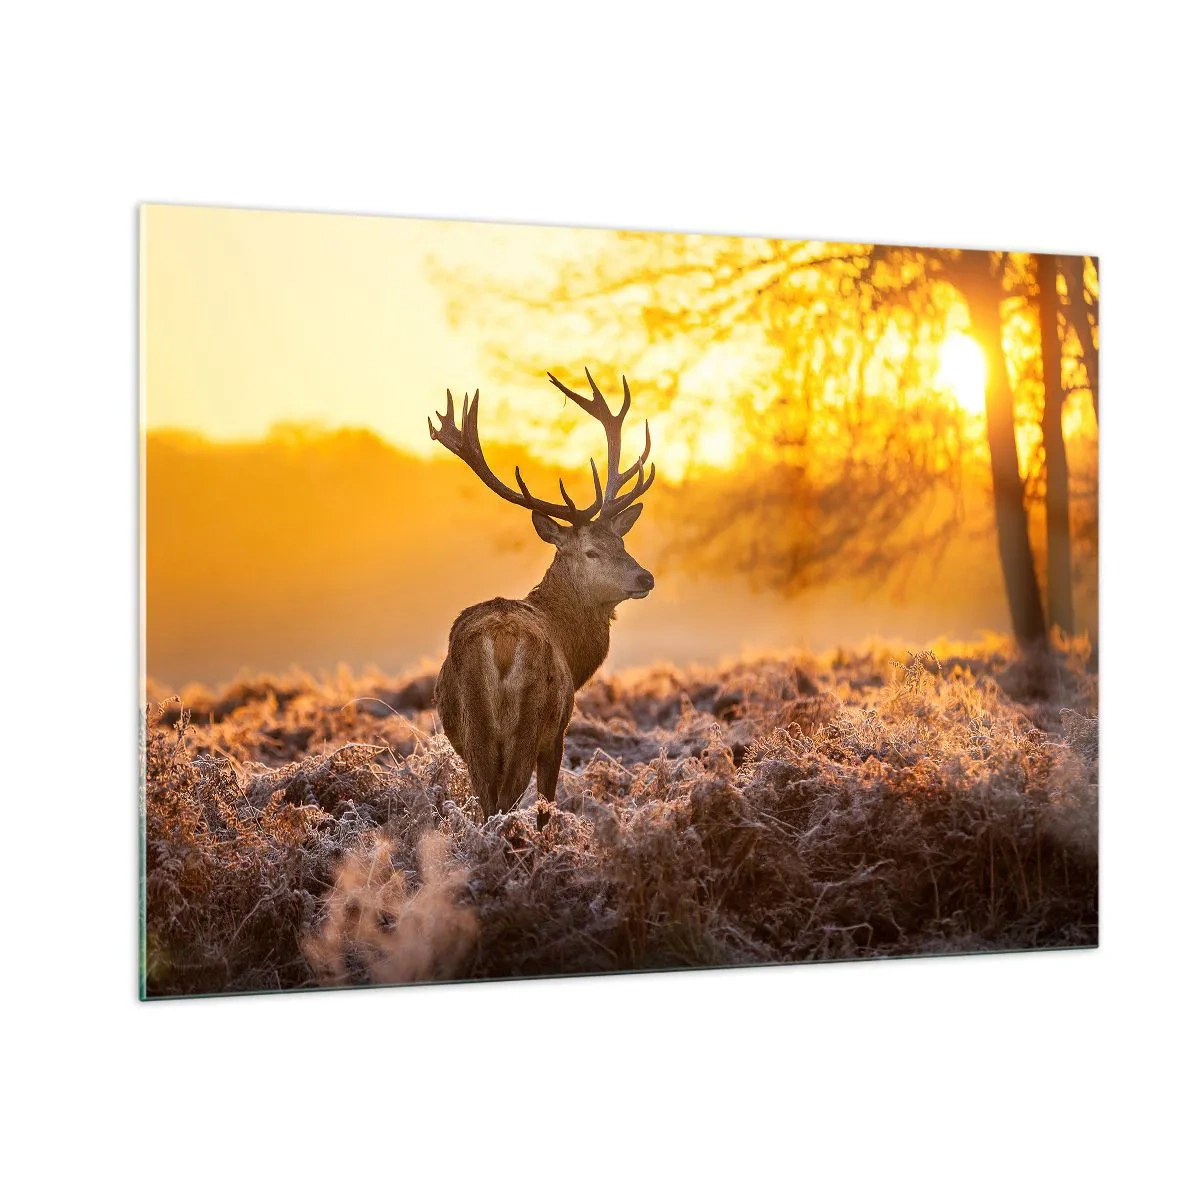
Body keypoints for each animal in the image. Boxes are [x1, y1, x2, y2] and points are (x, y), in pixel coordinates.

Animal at [428, 369, 656, 823]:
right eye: (591, 551)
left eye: (621, 542)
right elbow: (547, 804)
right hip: (528, 725)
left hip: (475, 732)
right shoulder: (558, 732)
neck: (572, 647)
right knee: (506, 802)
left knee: (488, 805)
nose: (646, 577)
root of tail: (500, 644)